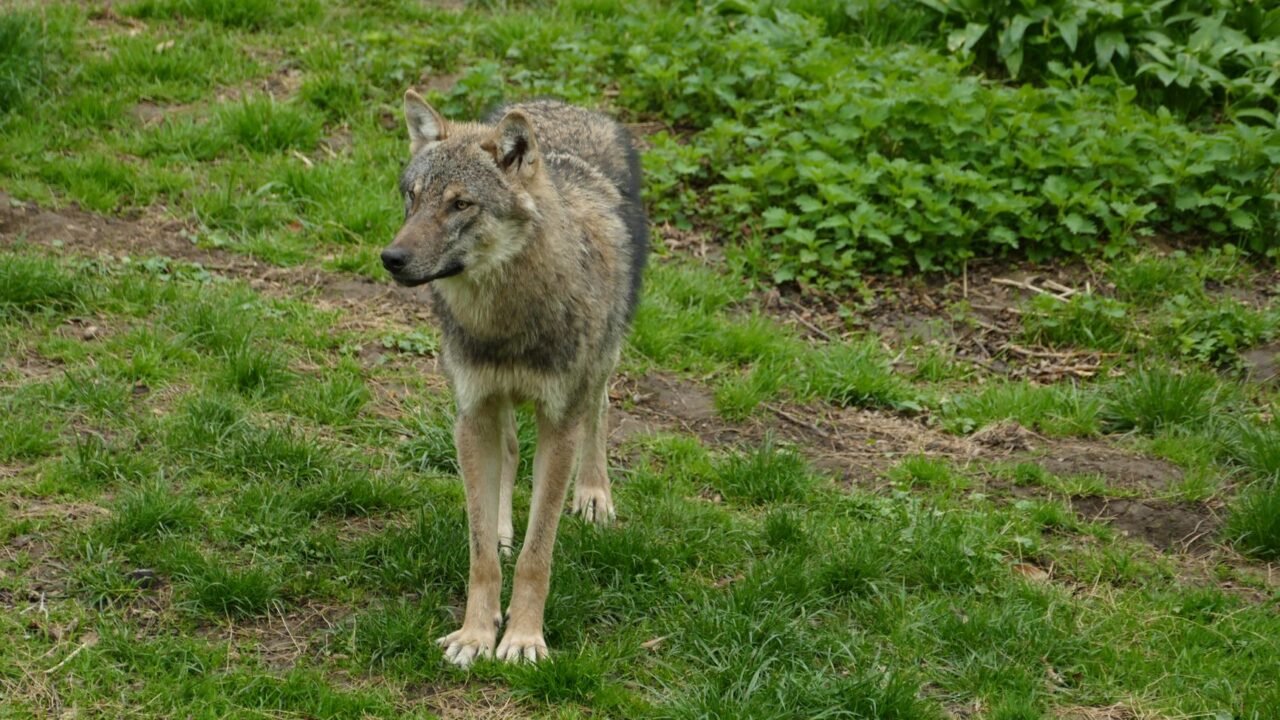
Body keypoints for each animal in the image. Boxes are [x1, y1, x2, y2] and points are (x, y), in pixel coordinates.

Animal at [381, 90, 648, 666]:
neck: (505, 321)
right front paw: (476, 634)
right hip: (493, 407)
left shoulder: (559, 424)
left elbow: (536, 554)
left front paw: (524, 638)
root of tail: (562, 105)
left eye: (460, 204)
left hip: (603, 359)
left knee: (600, 409)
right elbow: (481, 551)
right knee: (507, 451)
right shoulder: (471, 414)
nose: (391, 258)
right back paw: (506, 527)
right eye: (412, 197)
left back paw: (594, 495)